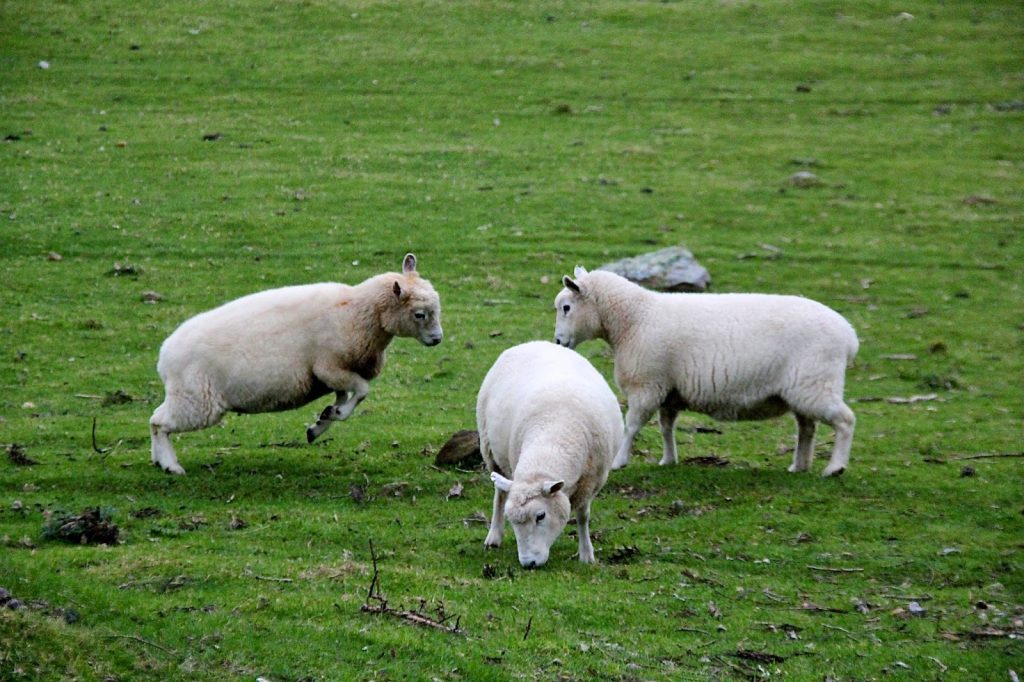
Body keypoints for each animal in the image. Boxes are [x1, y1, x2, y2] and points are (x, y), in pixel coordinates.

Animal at [149, 250, 444, 473]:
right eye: (419, 314)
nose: (438, 339)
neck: (357, 312)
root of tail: (164, 357)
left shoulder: (331, 375)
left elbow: (342, 397)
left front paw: (322, 422)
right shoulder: (329, 367)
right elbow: (361, 391)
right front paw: (334, 416)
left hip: (187, 395)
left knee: (155, 418)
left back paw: (158, 460)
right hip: (198, 402)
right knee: (159, 423)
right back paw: (171, 465)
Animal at [473, 337, 622, 565]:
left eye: (540, 516)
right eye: (512, 520)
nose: (528, 564)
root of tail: (534, 342)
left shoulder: (590, 482)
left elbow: (583, 516)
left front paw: (586, 555)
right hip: (491, 453)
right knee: (500, 495)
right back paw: (494, 536)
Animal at [552, 262, 856, 475]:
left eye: (566, 307)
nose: (558, 342)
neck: (634, 319)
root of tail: (849, 336)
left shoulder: (647, 384)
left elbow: (632, 426)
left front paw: (619, 461)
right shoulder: (668, 389)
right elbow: (666, 426)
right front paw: (668, 459)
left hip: (816, 383)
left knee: (845, 420)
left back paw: (835, 468)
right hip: (803, 389)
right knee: (807, 428)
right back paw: (799, 466)